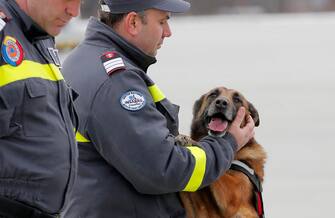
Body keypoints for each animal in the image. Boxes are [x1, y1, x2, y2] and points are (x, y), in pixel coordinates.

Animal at [178, 86, 268, 218]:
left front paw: (191, 141)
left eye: (237, 99)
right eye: (213, 94)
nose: (221, 103)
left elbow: (218, 173)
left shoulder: (233, 194)